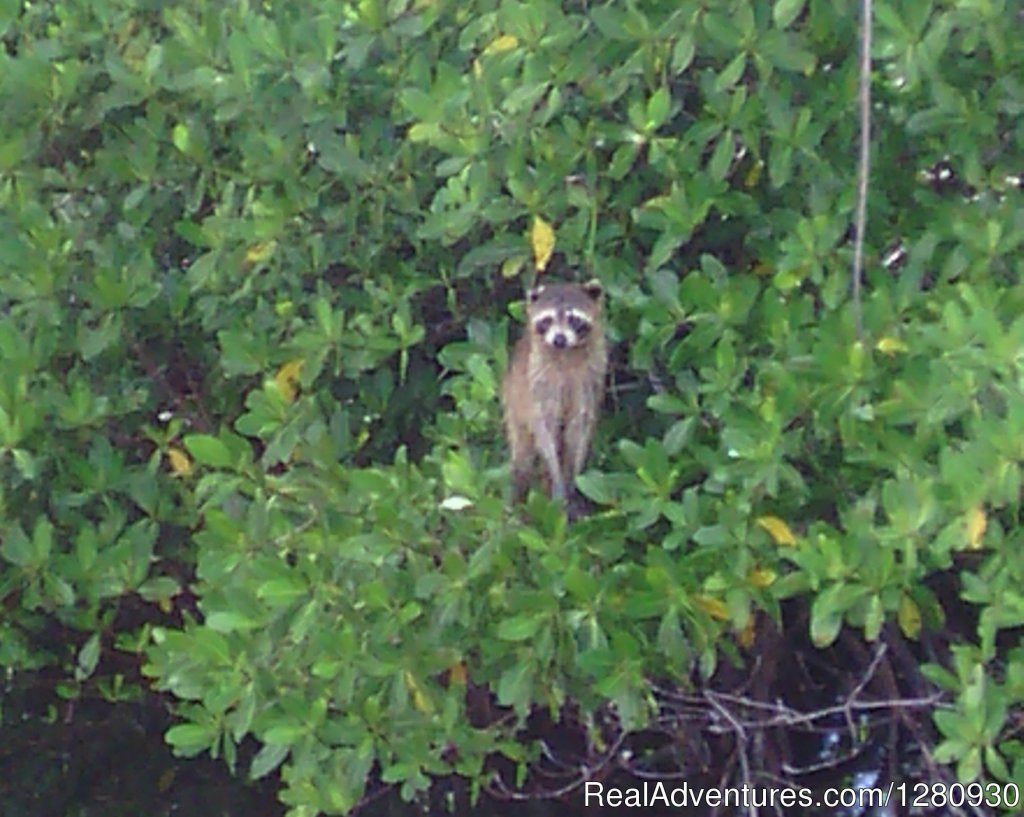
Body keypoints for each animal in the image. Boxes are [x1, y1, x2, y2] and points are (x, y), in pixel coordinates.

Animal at [499, 278, 602, 516]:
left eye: (574, 319)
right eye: (547, 320)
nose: (559, 339)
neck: (565, 353)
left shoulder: (589, 376)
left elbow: (579, 425)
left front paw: (572, 476)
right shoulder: (538, 379)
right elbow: (544, 426)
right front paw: (556, 477)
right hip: (513, 405)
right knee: (523, 459)